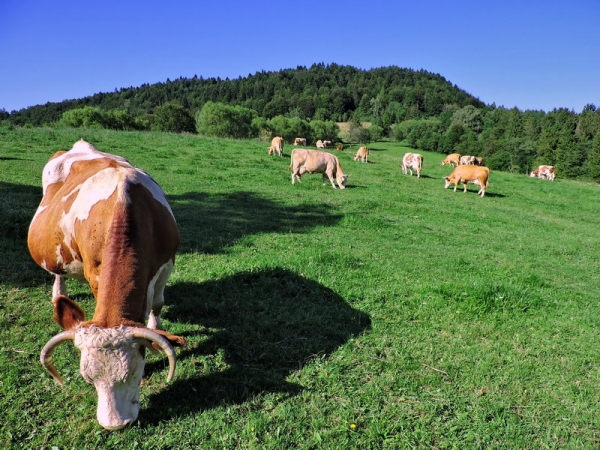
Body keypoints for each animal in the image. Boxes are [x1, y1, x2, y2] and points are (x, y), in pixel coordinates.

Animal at [27, 139, 185, 430]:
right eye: (87, 378)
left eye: (135, 371)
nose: (115, 424)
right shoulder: (95, 273)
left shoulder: (167, 263)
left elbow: (157, 304)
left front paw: (157, 330)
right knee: (59, 272)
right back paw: (58, 294)